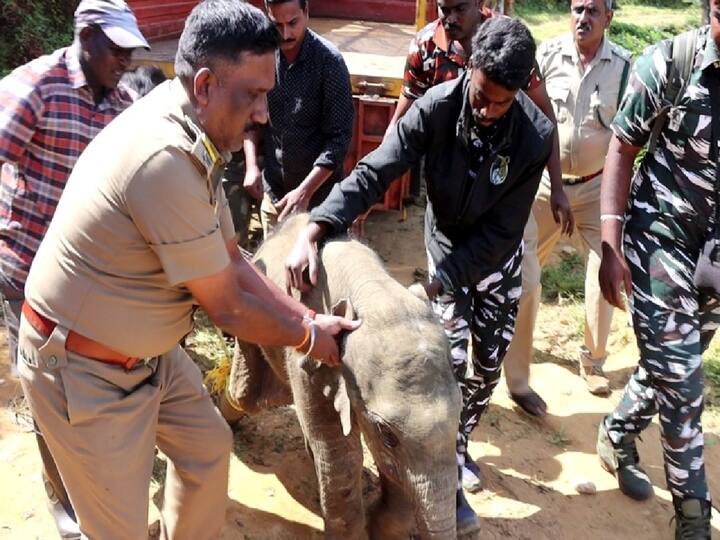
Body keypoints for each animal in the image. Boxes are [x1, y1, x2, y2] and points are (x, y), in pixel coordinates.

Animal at [221, 215, 462, 540]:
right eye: (387, 435)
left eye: (460, 417)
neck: (373, 289)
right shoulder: (311, 363)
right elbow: (341, 459)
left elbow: (388, 465)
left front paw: (382, 527)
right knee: (249, 397)